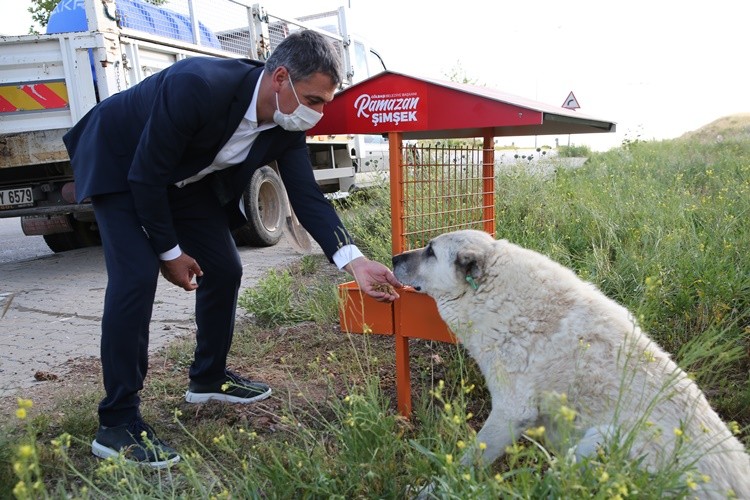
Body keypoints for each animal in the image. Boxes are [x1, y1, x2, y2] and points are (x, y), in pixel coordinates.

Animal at [394, 229, 750, 496]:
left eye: (430, 251)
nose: (394, 258)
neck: (492, 291)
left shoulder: (511, 411)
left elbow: (466, 461)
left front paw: (432, 489)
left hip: (599, 440)